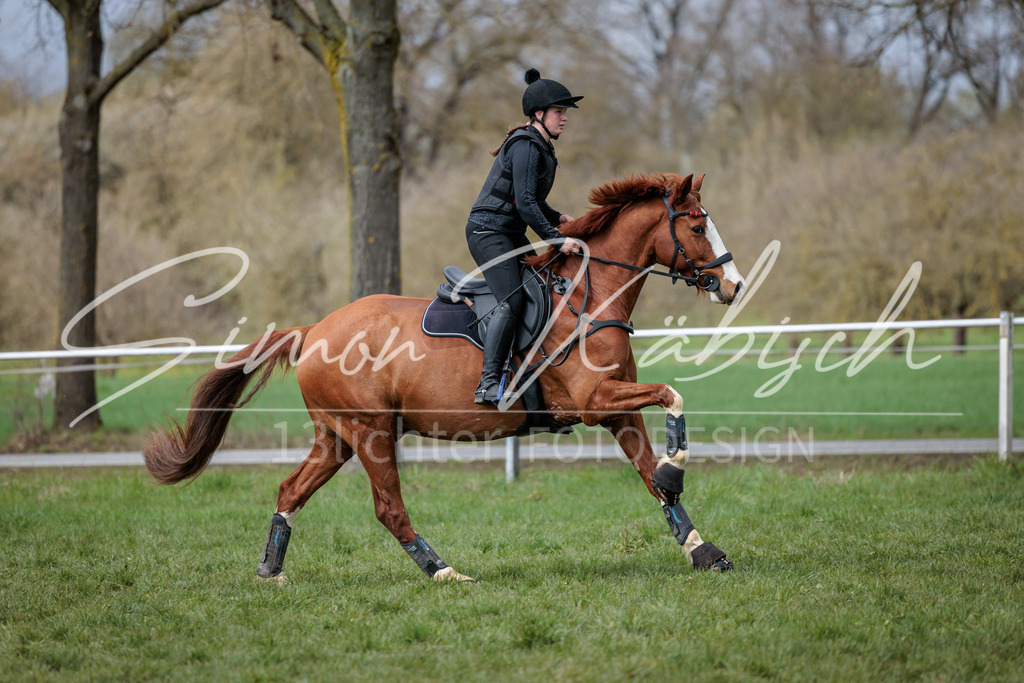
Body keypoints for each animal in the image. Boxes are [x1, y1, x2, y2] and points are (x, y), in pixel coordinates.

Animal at [144, 172, 746, 582]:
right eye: (697, 226)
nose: (734, 285)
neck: (590, 297)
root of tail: (313, 330)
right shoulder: (595, 401)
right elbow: (672, 395)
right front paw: (678, 475)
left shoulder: (616, 409)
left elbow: (652, 477)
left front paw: (701, 549)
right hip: (371, 433)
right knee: (388, 508)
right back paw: (443, 571)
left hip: (337, 436)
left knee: (291, 489)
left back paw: (272, 570)